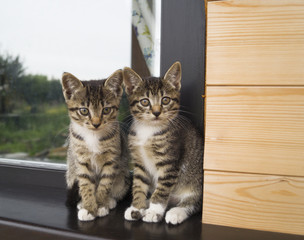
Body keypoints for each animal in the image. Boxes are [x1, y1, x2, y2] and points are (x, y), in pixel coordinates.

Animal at [60, 71, 129, 221]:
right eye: (84, 111)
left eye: (106, 110)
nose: (96, 123)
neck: (93, 136)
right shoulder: (81, 159)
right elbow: (86, 184)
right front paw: (89, 208)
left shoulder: (112, 159)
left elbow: (105, 183)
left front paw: (101, 205)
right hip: (71, 172)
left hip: (123, 177)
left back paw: (110, 200)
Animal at [122, 62, 203, 225]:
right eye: (145, 101)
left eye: (165, 100)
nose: (156, 112)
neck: (148, 130)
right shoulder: (139, 163)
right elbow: (138, 185)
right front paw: (137, 207)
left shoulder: (169, 163)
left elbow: (162, 190)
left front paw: (154, 211)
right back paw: (146, 205)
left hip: (197, 183)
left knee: (193, 203)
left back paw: (176, 212)